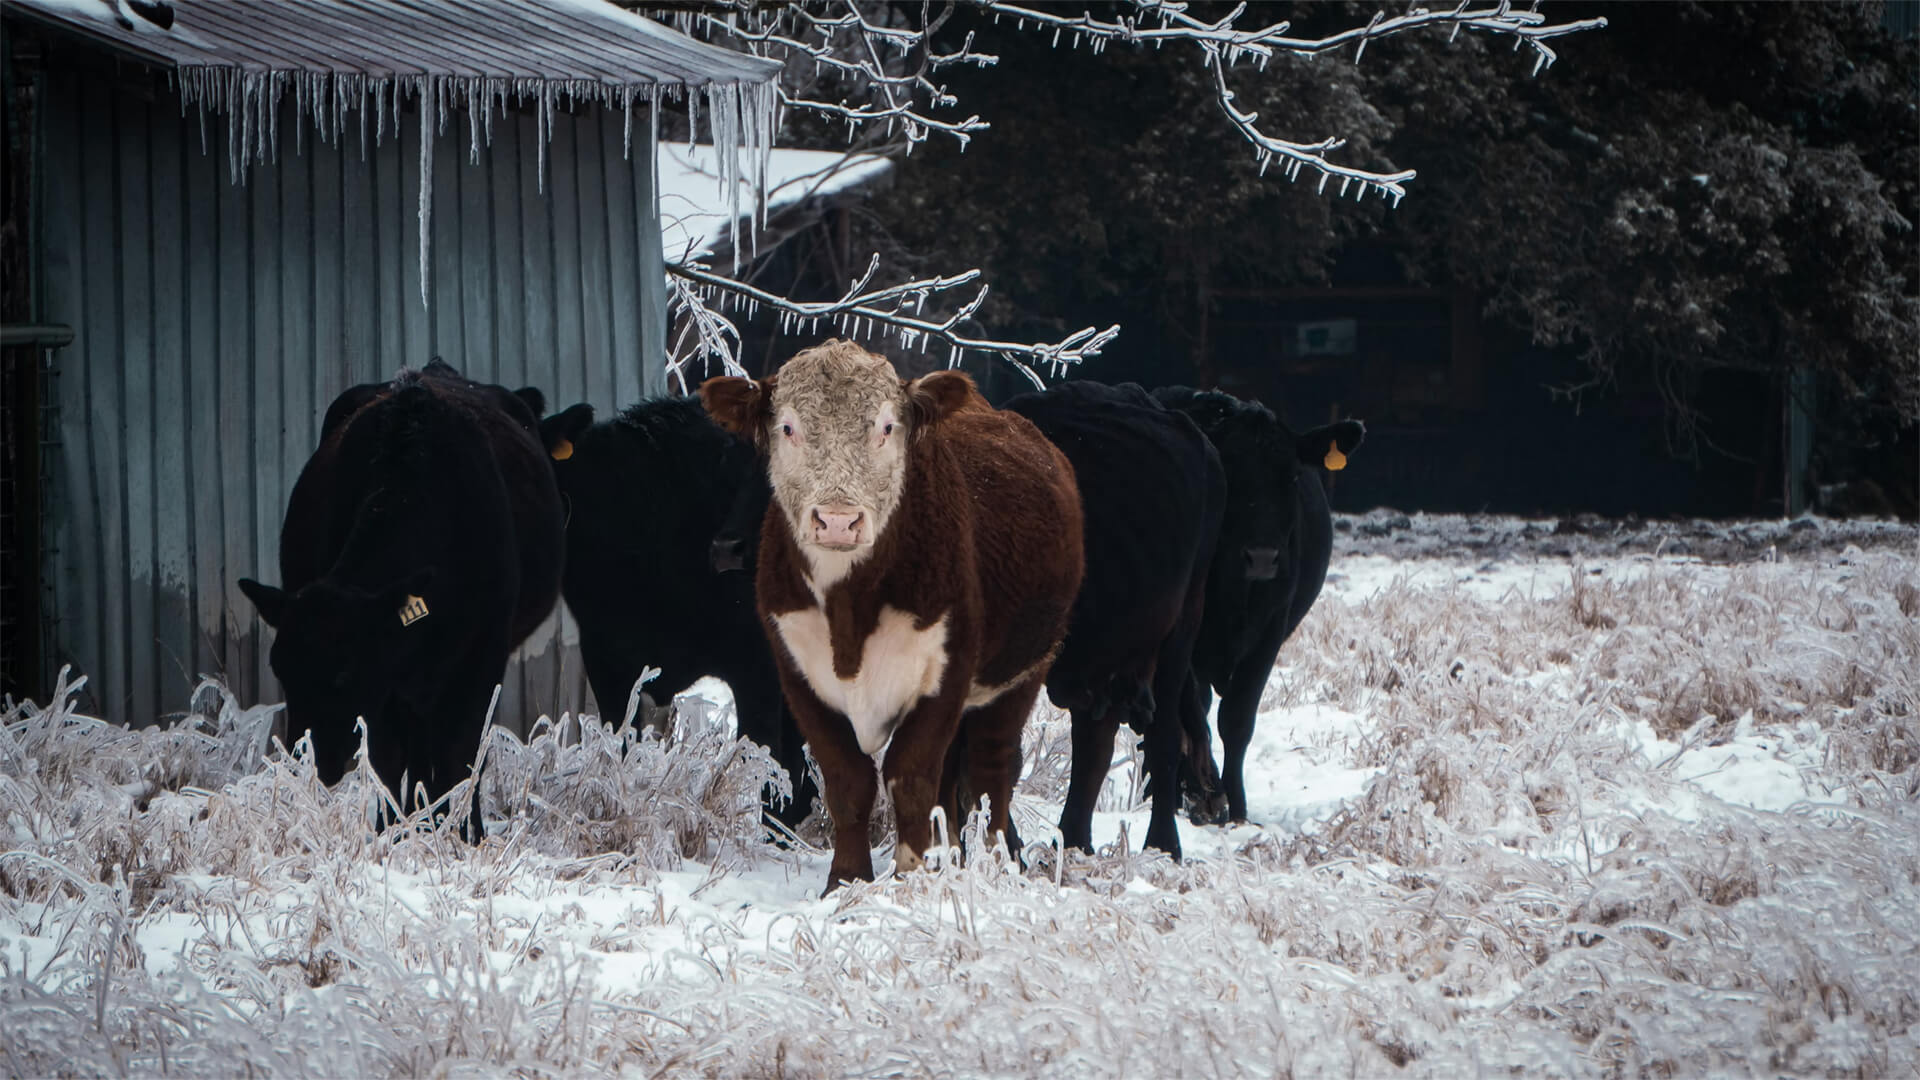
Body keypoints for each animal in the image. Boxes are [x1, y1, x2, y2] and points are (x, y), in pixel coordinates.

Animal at [238, 360, 564, 839]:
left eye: (343, 673)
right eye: (280, 669)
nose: (310, 758)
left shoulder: (481, 657)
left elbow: (464, 753)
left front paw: (464, 833)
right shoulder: (385, 678)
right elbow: (388, 758)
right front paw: (389, 831)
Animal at [701, 340, 1084, 893]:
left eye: (886, 426)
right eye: (788, 427)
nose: (838, 520)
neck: (849, 615)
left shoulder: (945, 672)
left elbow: (910, 776)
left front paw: (910, 876)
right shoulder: (798, 675)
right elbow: (848, 781)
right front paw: (846, 882)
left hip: (1024, 672)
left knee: (992, 770)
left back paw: (994, 863)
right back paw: (951, 858)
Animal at [1151, 387, 1364, 826]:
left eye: (1293, 476)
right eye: (1229, 472)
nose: (1263, 557)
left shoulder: (1270, 631)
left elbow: (1237, 719)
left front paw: (1237, 808)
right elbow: (1190, 711)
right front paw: (1202, 794)